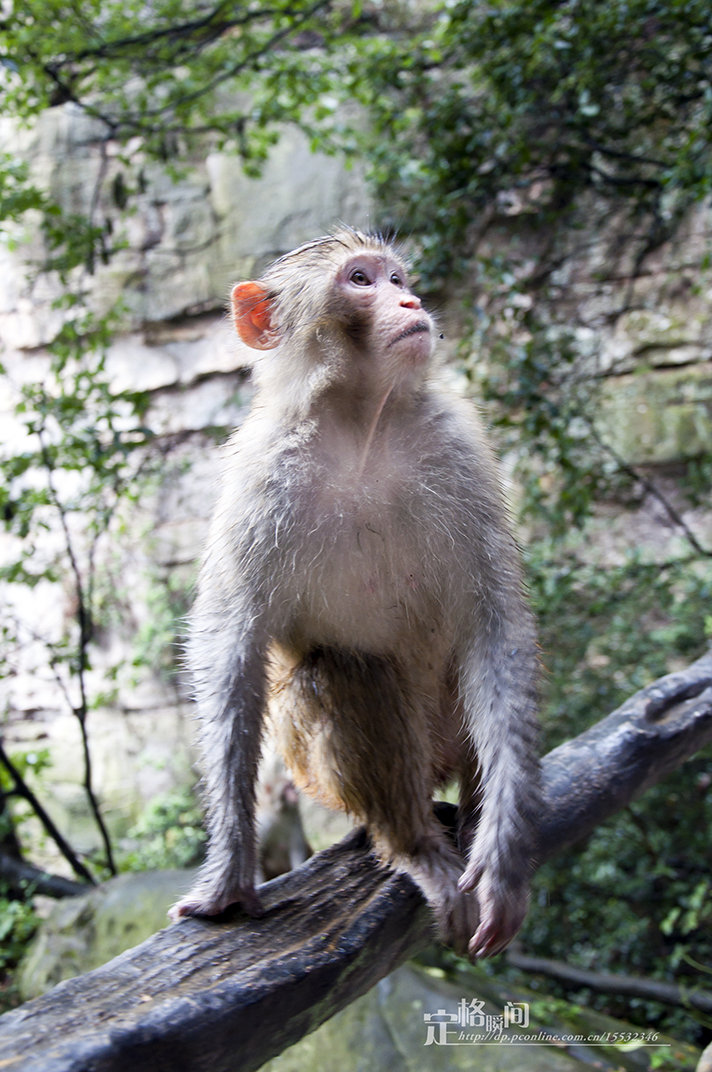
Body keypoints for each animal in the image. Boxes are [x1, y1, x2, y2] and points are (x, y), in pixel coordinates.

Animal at [172, 228, 540, 964]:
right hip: (323, 774)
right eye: (360, 280)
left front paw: (504, 853)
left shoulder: (460, 449)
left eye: (396, 277)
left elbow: (495, 624)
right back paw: (413, 844)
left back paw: (476, 814)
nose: (411, 300)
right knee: (337, 673)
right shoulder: (259, 477)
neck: (361, 426)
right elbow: (233, 647)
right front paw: (229, 870)